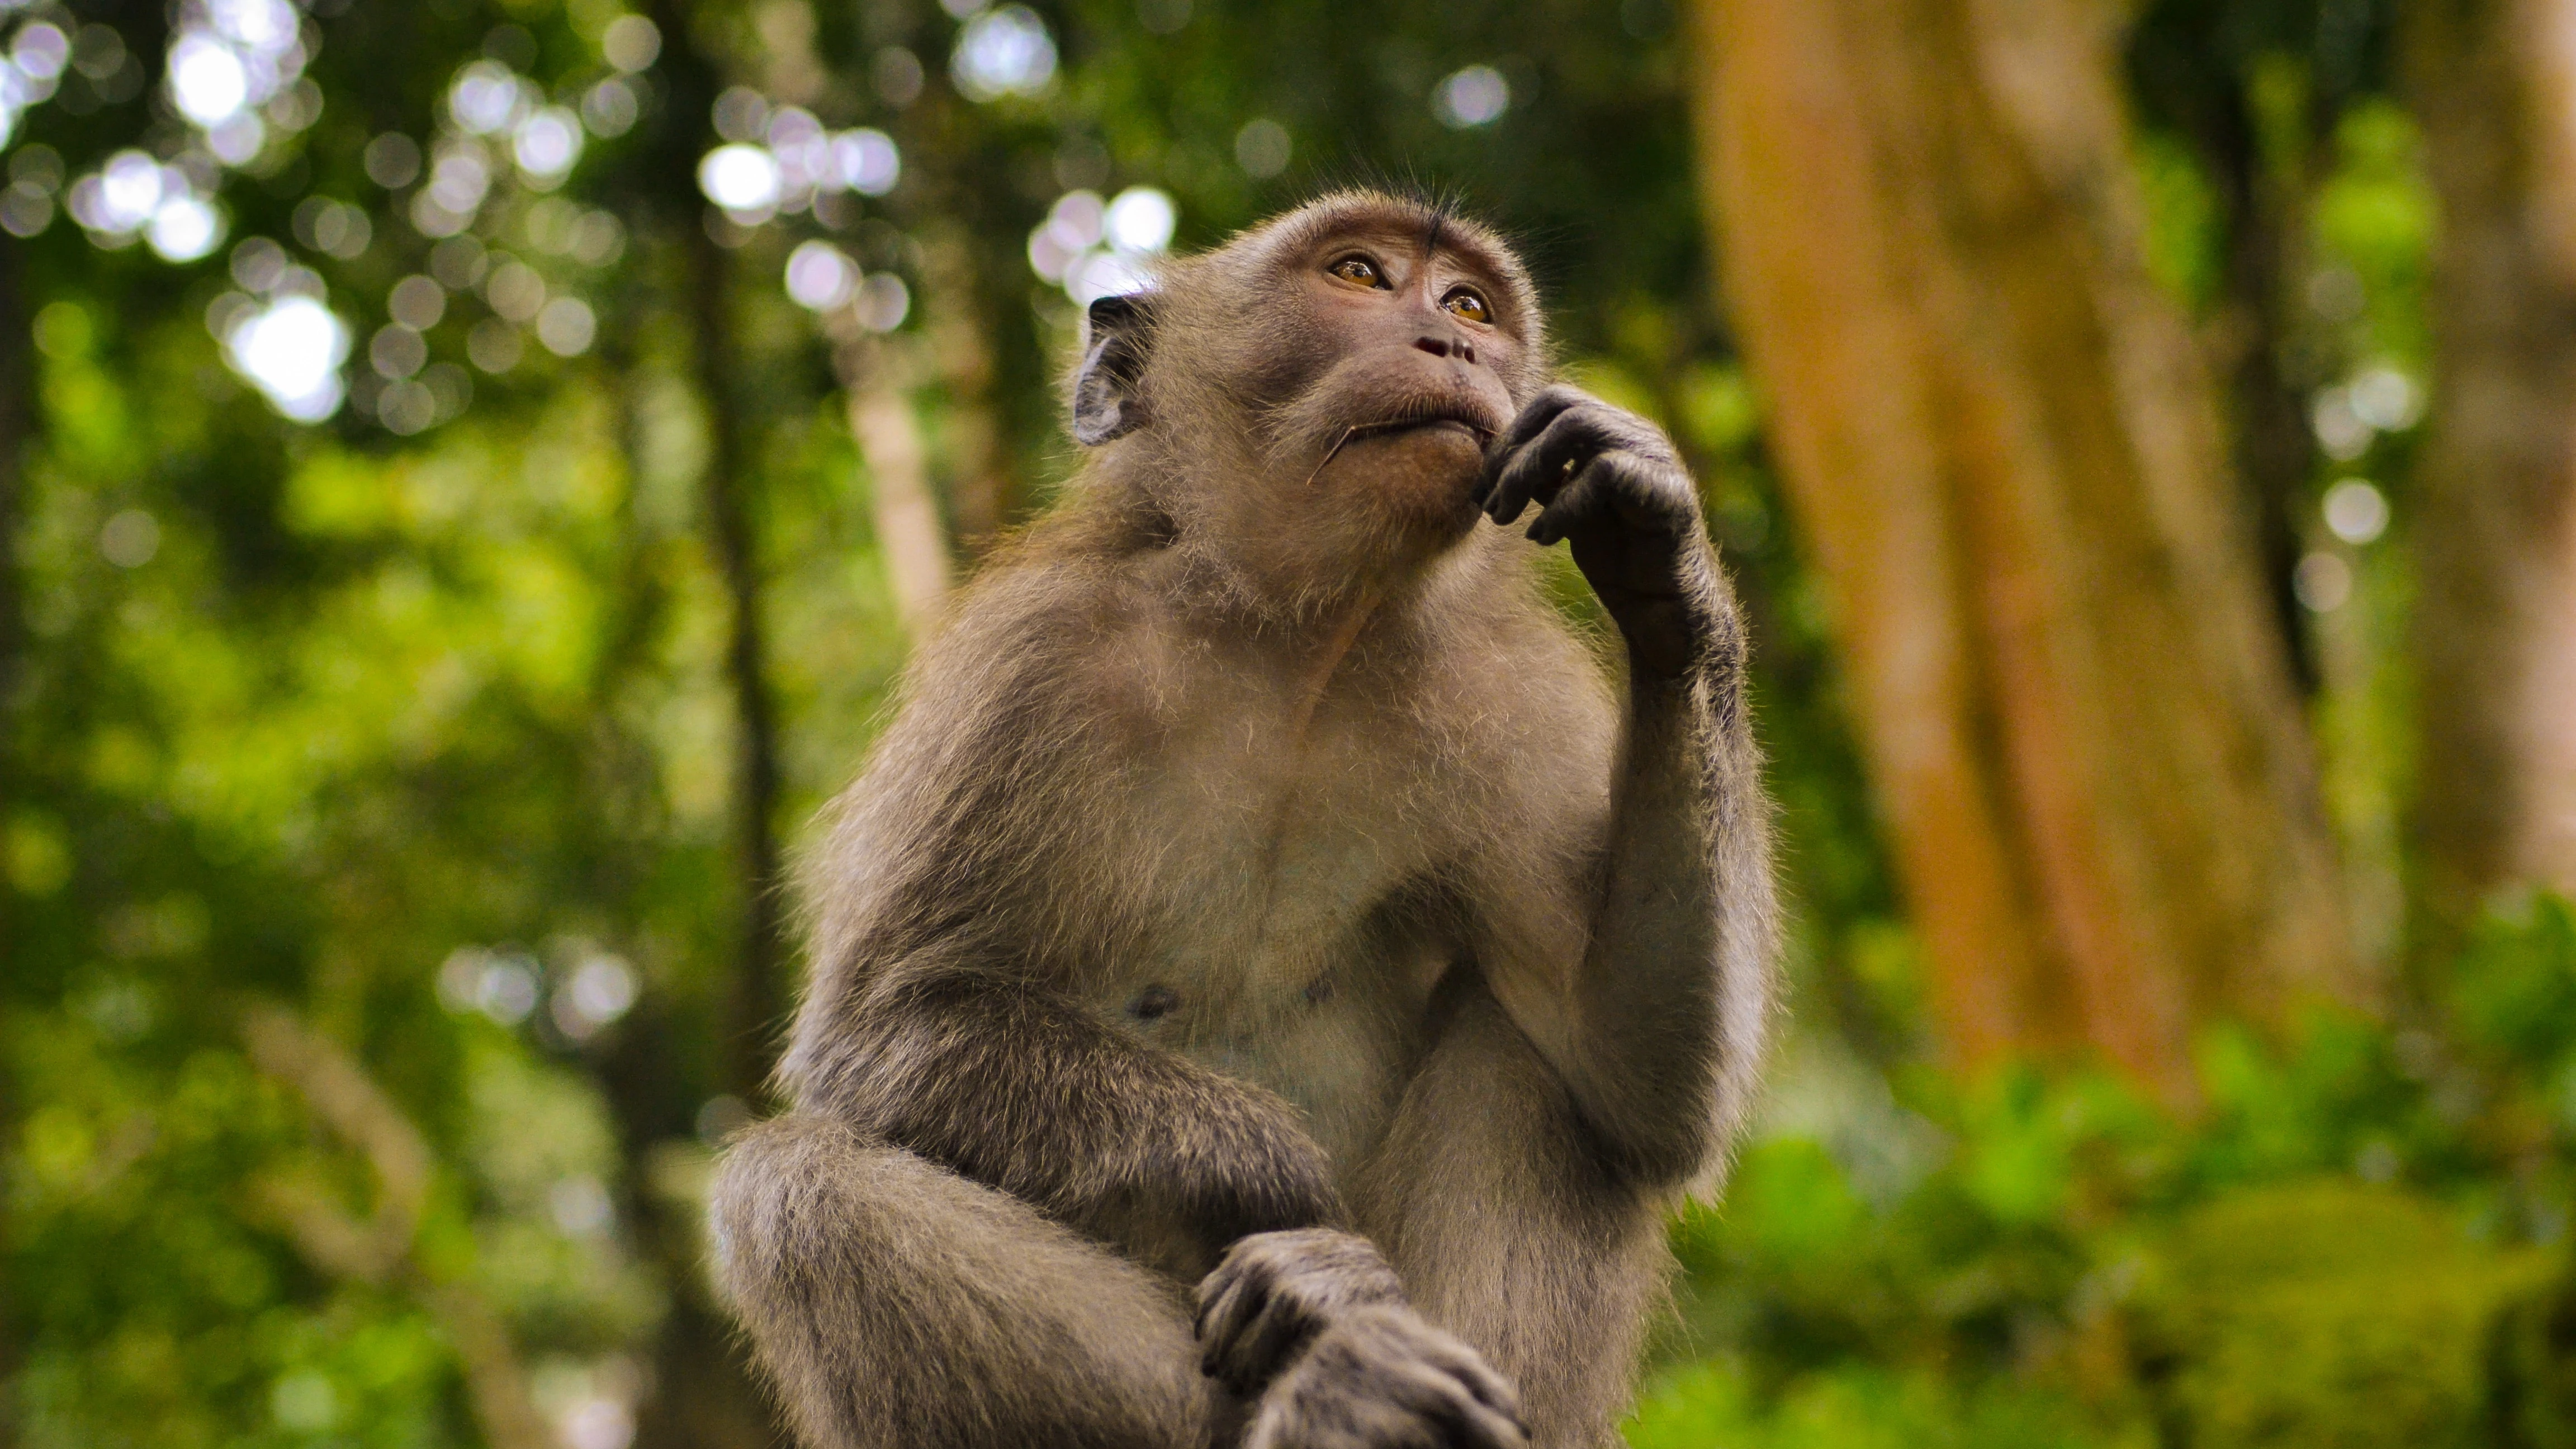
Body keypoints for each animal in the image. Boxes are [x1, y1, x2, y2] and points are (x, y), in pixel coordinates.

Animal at [716, 192, 1782, 1443]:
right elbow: (880, 1028)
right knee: (795, 1187)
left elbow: (1637, 1078)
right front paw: (1296, 1198)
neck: (1296, 643)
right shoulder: (1027, 667)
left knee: (1534, 1058)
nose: (1453, 344)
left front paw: (1658, 546)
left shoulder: (1510, 701)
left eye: (1471, 304)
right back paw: (1339, 1385)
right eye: (1360, 276)